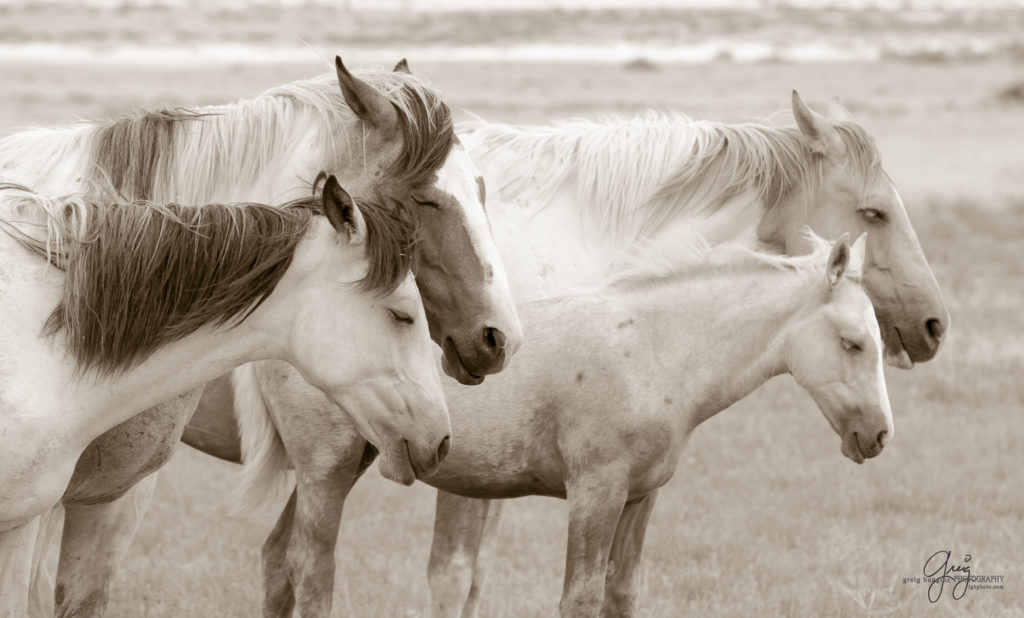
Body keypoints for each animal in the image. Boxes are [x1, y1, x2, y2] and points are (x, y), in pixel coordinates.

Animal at [237, 230, 888, 613]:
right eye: (854, 343)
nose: (879, 436)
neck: (653, 347)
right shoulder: (595, 491)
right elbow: (579, 597)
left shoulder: (640, 497)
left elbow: (620, 593)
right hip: (325, 472)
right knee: (309, 570)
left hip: (344, 467)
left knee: (276, 560)